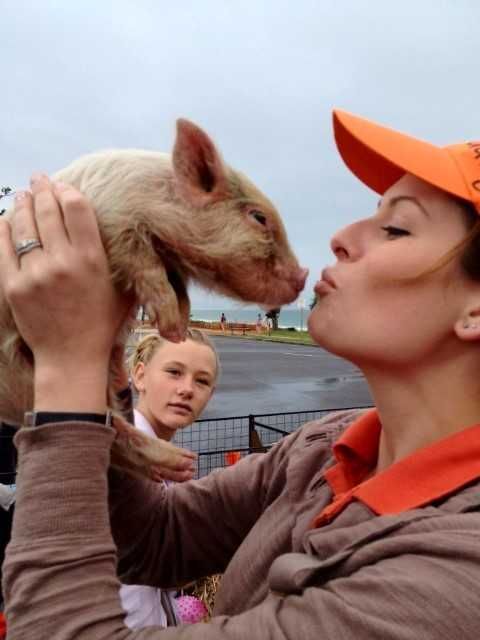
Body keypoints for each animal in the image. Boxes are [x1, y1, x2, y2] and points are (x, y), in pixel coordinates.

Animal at [0, 119, 307, 478]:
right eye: (258, 217)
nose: (304, 276)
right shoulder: (115, 221)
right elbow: (146, 268)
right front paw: (172, 329)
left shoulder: (170, 259)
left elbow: (181, 289)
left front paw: (178, 327)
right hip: (24, 375)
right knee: (112, 433)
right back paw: (181, 461)